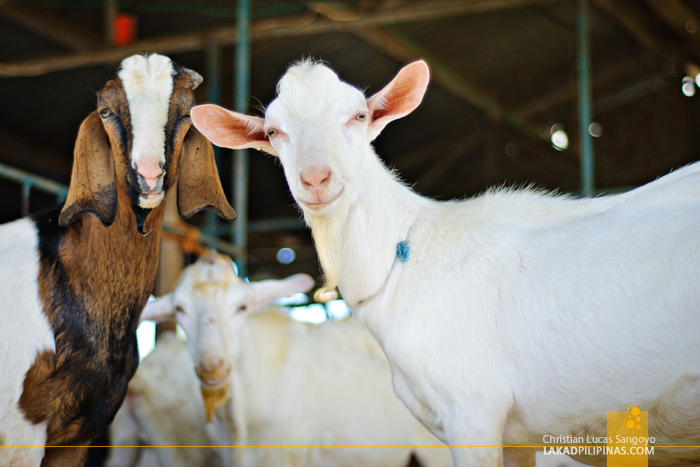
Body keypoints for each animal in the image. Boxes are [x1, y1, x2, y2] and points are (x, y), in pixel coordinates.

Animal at [190, 59, 700, 467]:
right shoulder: (516, 438)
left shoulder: (471, 413)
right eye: (273, 132)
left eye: (359, 115)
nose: (316, 179)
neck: (406, 258)